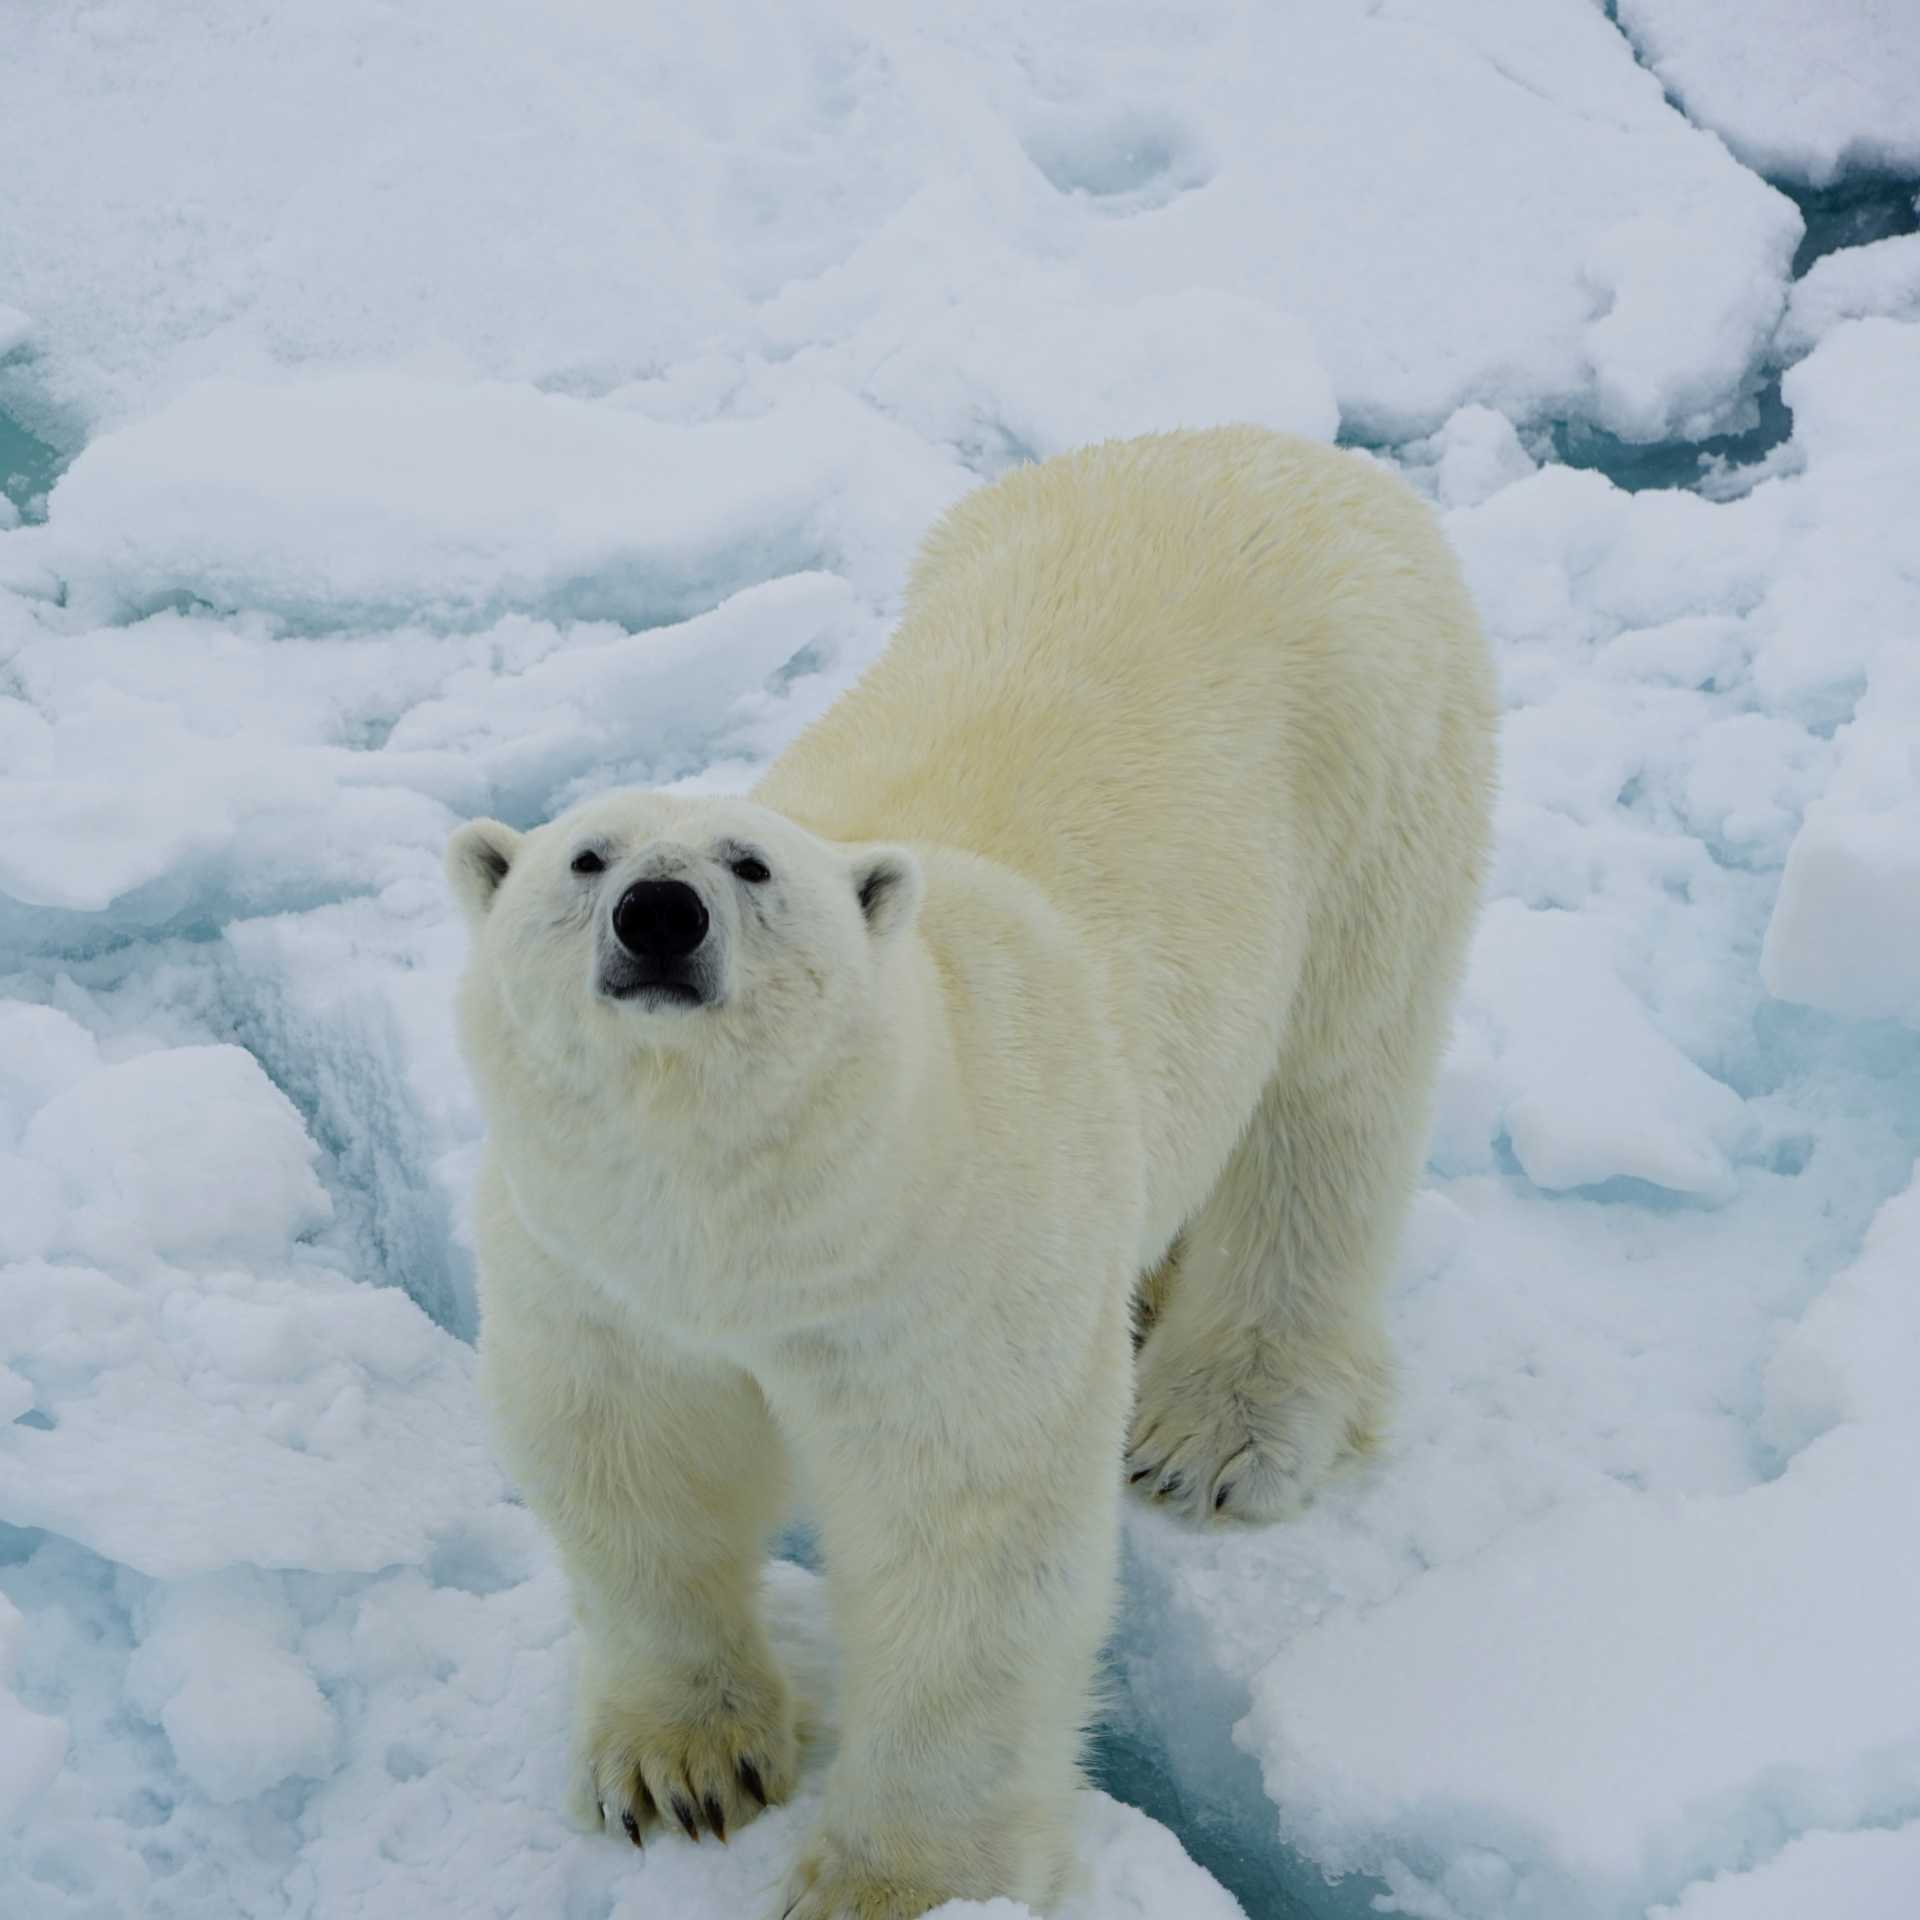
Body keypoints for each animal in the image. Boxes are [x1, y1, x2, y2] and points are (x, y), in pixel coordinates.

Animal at [447, 427, 1496, 1918]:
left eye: (750, 864)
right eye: (583, 856)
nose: (659, 914)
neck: (752, 1223)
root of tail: (1278, 445)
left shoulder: (954, 1272)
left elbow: (966, 1536)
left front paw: (899, 1883)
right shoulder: (594, 1265)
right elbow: (630, 1465)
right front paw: (678, 1770)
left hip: (1380, 779)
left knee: (1329, 1102)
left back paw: (1219, 1430)